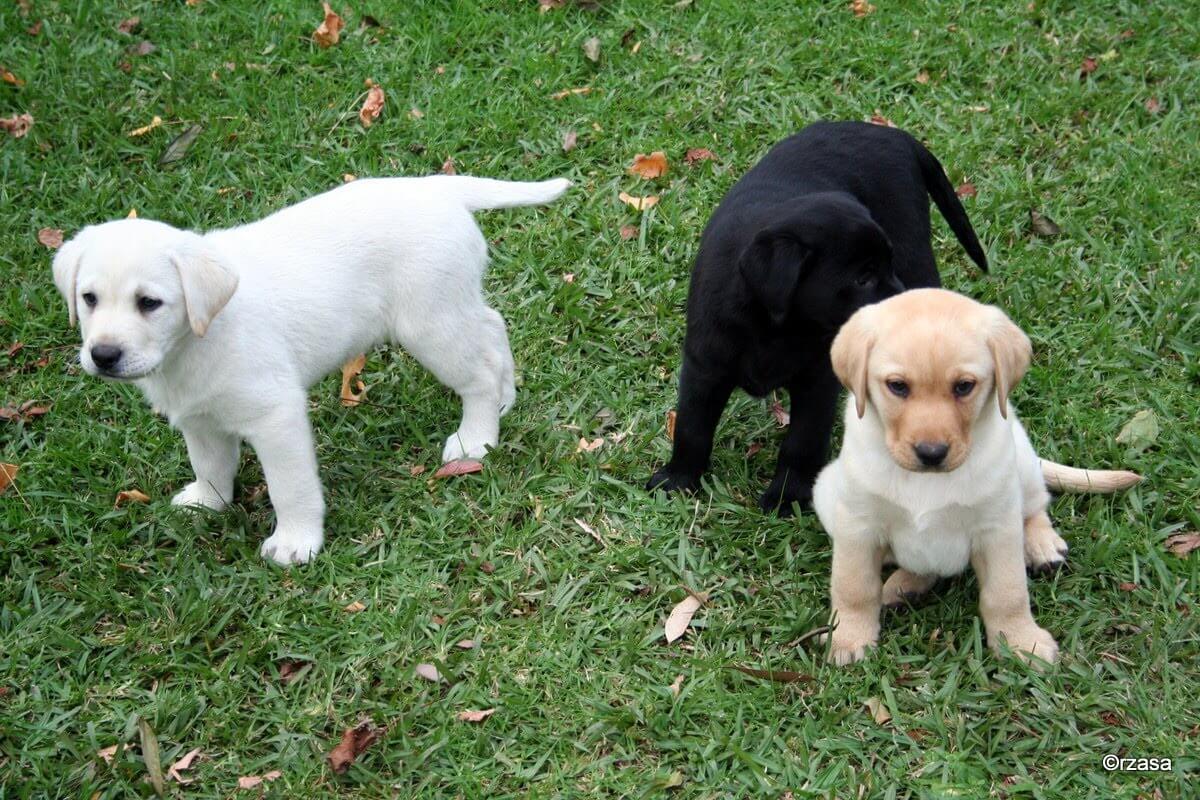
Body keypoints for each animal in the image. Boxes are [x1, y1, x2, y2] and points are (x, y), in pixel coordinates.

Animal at [51, 173, 566, 563]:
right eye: (89, 298)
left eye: (149, 303)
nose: (103, 355)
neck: (199, 334)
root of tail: (437, 187)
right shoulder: (200, 420)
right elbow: (211, 465)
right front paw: (208, 503)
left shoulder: (276, 415)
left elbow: (290, 486)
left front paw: (296, 542)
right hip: (451, 310)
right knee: (492, 328)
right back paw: (505, 398)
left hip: (431, 325)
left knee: (478, 371)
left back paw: (476, 437)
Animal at [652, 122, 988, 515]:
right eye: (862, 278)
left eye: (885, 266)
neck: (774, 326)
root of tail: (894, 135)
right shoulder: (704, 368)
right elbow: (692, 428)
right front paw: (678, 480)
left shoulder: (818, 379)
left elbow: (802, 441)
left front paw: (788, 496)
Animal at [811, 291, 1137, 666]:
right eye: (897, 386)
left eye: (964, 386)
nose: (932, 452)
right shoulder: (857, 524)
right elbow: (854, 588)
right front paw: (848, 637)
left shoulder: (997, 529)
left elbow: (1007, 594)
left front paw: (1021, 641)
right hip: (826, 492)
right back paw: (902, 586)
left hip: (1023, 464)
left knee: (1035, 506)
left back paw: (1041, 544)